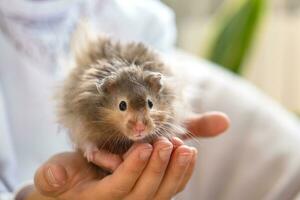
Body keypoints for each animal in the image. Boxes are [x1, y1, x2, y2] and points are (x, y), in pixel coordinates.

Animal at [56, 32, 188, 161]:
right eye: (122, 105)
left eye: (150, 103)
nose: (140, 128)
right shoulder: (79, 120)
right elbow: (87, 141)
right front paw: (91, 155)